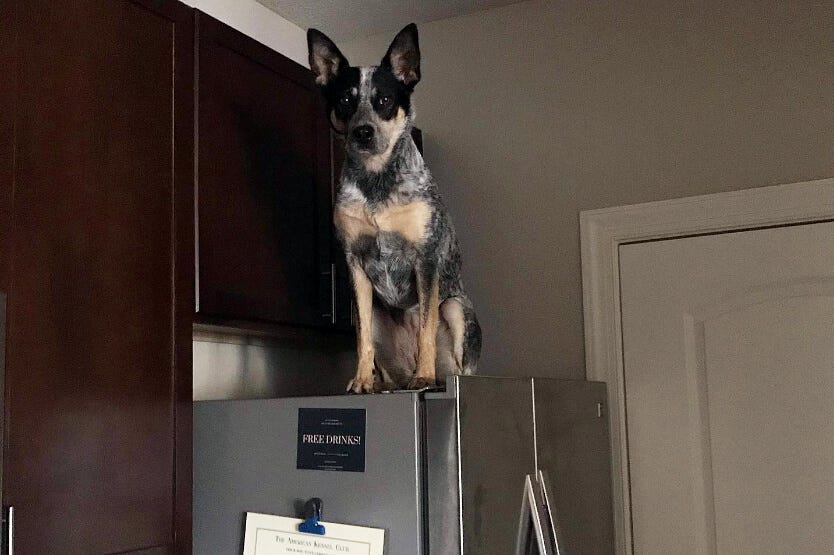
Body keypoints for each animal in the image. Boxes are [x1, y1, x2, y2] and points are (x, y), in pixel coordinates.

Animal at [308, 22, 480, 396]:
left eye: (384, 100)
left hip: (456, 308)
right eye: (345, 100)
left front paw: (424, 376)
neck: (377, 180)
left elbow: (426, 329)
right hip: (374, 315)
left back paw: (439, 380)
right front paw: (361, 380)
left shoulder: (425, 257)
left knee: (462, 366)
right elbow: (362, 341)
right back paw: (384, 383)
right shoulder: (355, 265)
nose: (363, 132)